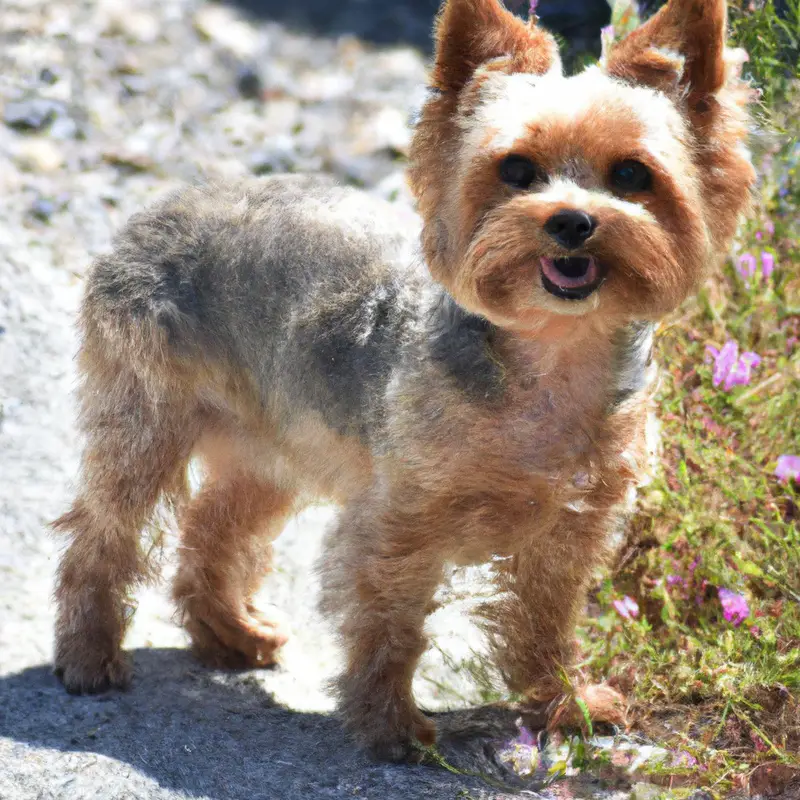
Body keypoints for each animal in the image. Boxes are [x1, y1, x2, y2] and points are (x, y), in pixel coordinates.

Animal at [51, 0, 756, 764]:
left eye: (632, 173)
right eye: (516, 169)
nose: (571, 221)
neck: (549, 360)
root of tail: (161, 205)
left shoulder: (568, 533)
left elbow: (546, 625)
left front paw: (566, 705)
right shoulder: (399, 525)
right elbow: (392, 628)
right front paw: (392, 727)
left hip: (272, 453)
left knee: (210, 531)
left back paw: (230, 636)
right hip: (146, 429)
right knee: (100, 536)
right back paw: (88, 657)